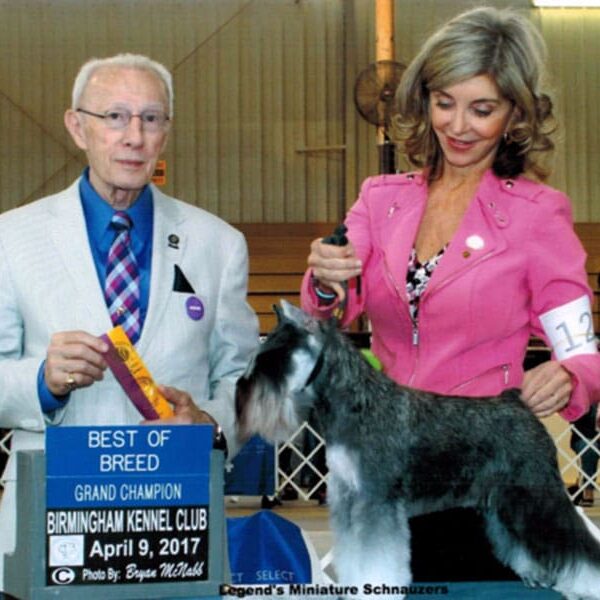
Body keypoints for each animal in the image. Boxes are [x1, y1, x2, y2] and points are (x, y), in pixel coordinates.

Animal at [236, 302, 600, 596]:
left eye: (276, 355)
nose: (242, 388)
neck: (358, 404)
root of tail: (518, 401)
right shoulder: (350, 499)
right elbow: (354, 554)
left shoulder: (376, 502)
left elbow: (375, 556)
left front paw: (374, 588)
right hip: (505, 503)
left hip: (536, 493)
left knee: (575, 542)